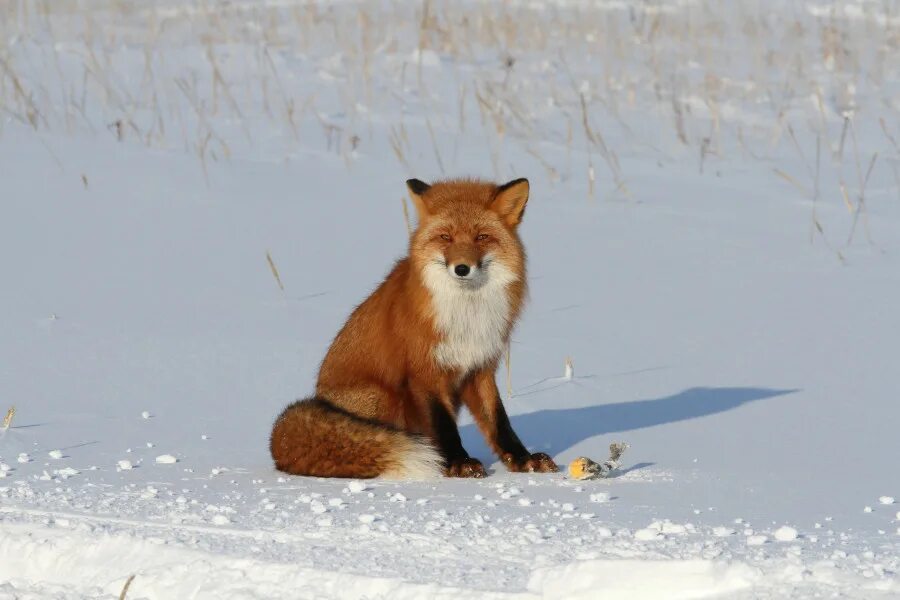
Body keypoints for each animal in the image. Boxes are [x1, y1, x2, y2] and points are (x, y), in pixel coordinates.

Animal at [270, 178, 560, 478]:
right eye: (445, 237)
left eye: (482, 237)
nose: (462, 268)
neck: (466, 317)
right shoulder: (424, 372)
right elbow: (444, 426)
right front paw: (458, 462)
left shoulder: (479, 368)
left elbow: (499, 422)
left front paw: (523, 459)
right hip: (383, 396)